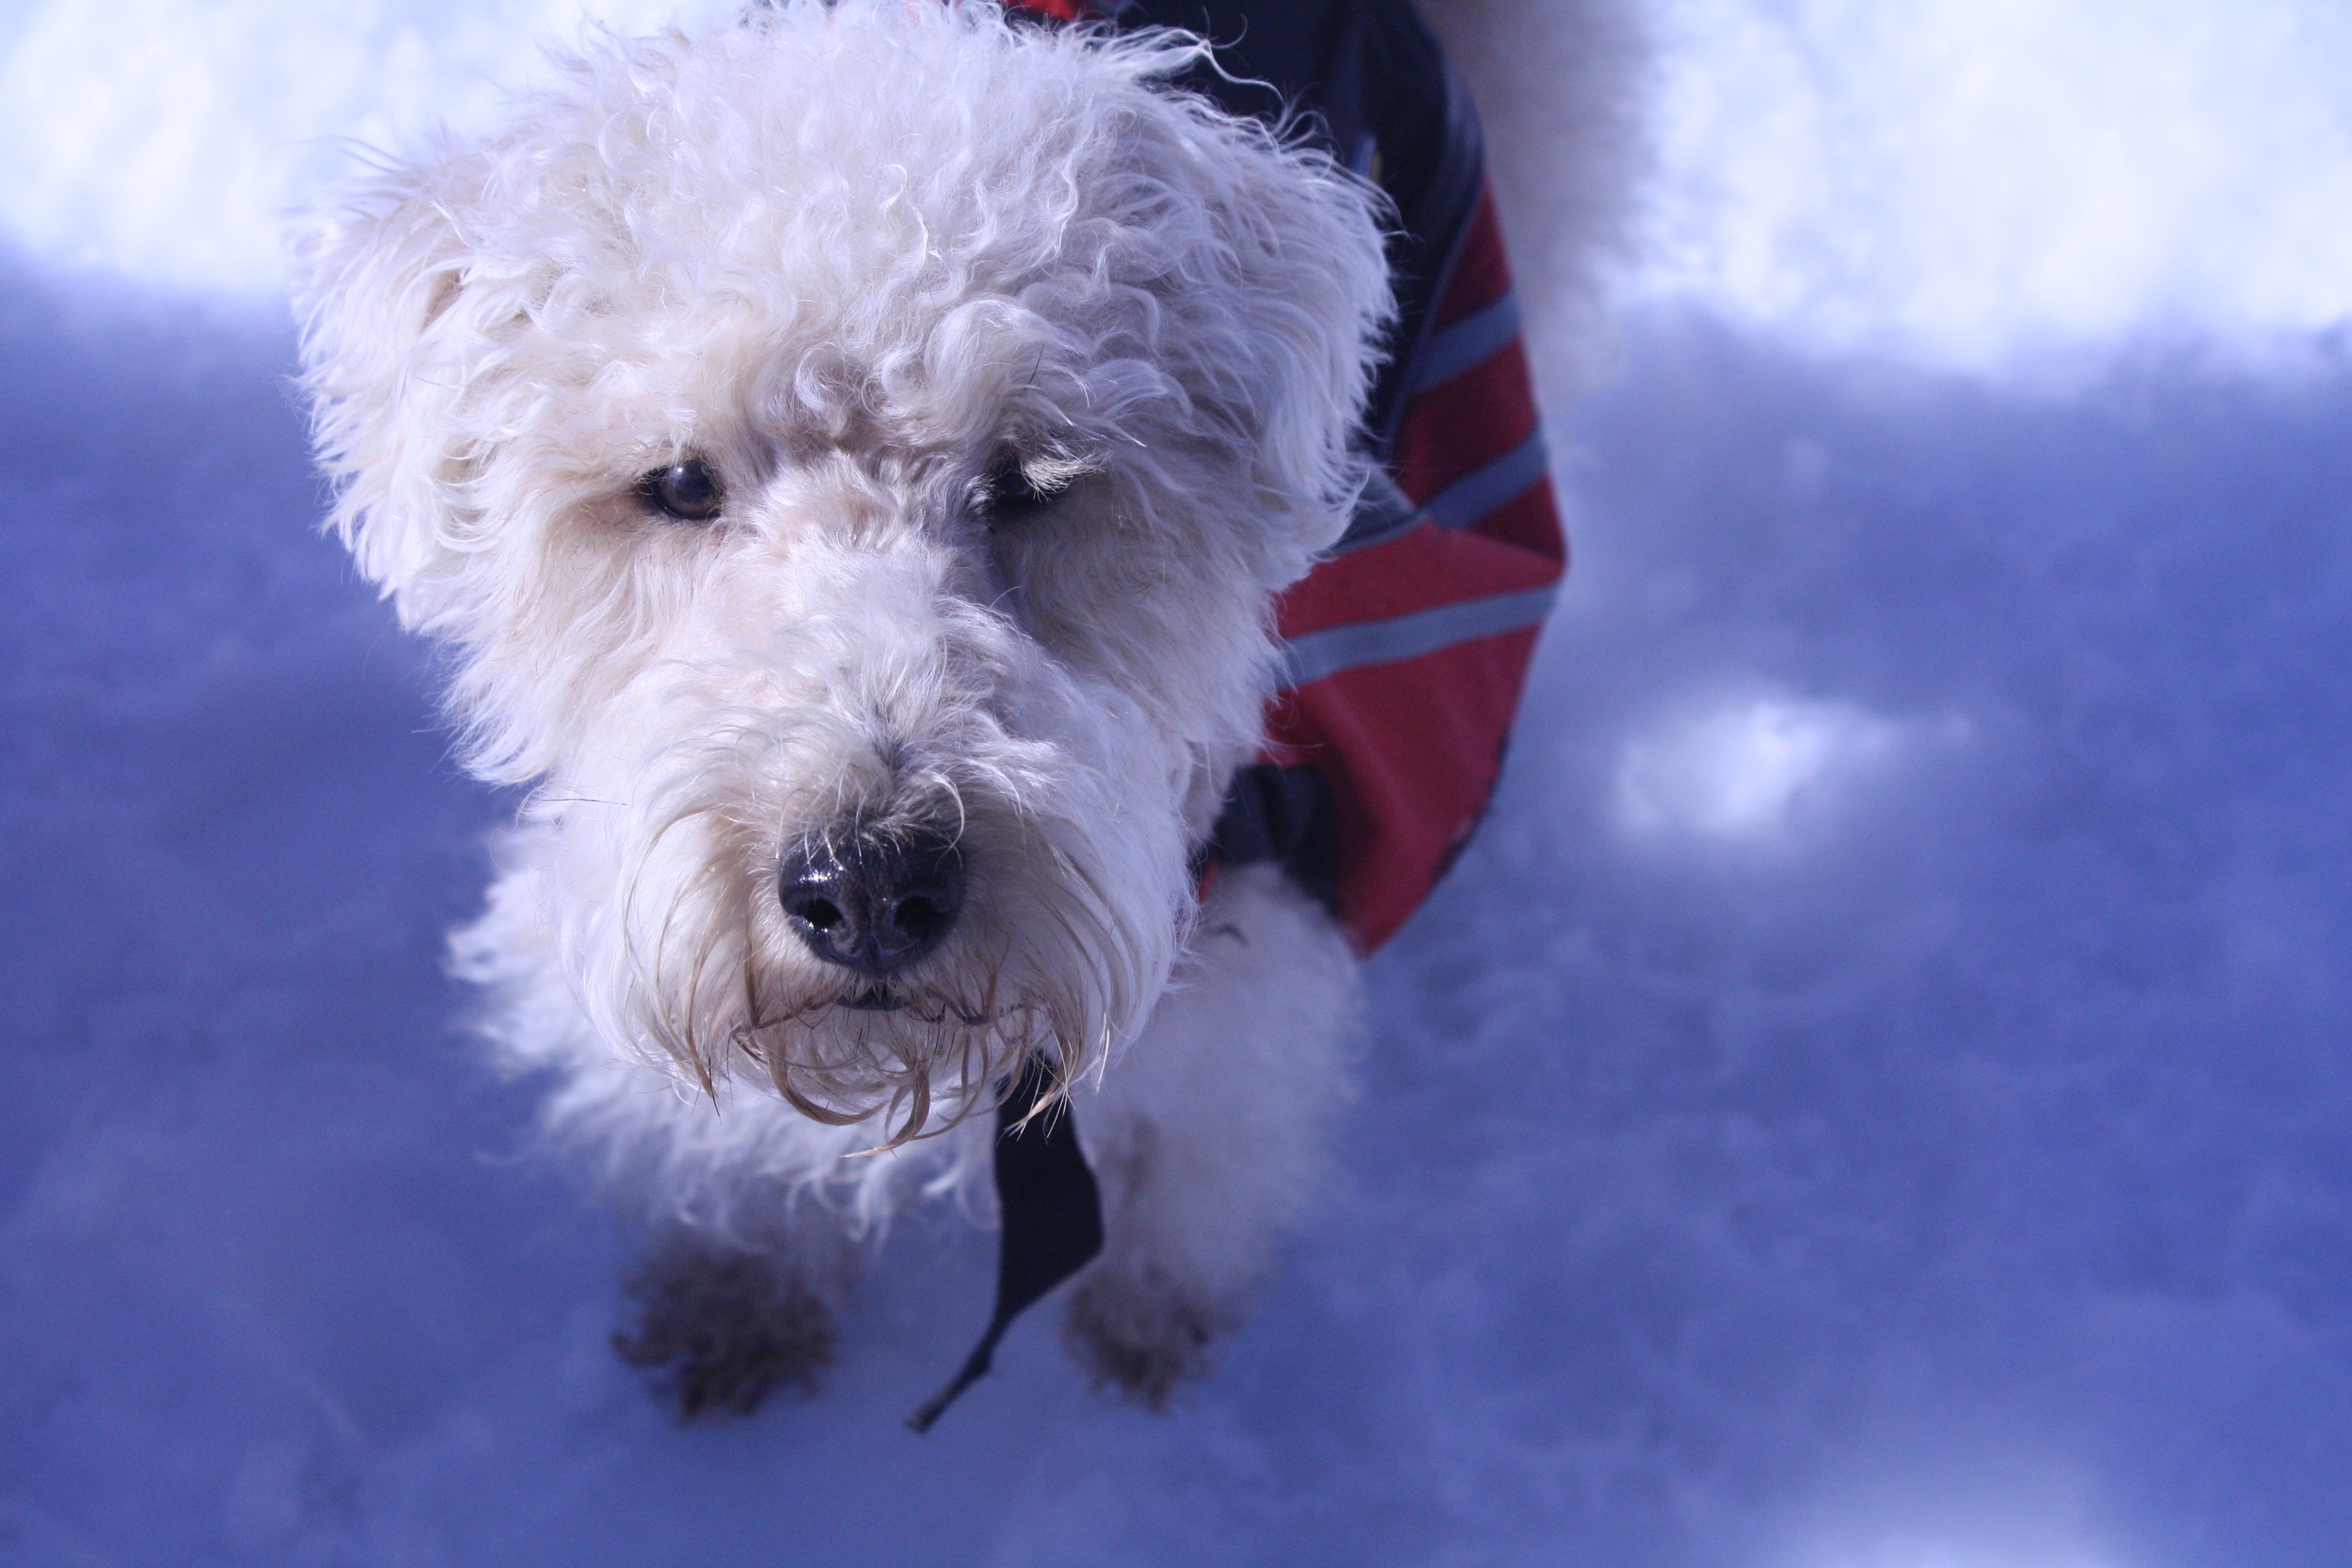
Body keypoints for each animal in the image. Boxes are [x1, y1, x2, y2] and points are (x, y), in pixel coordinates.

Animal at [296, 3, 1392, 1419]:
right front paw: (737, 1300)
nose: (871, 884)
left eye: (1034, 478)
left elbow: (1205, 1181)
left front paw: (1151, 1329)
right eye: (679, 481)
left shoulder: (1249, 998)